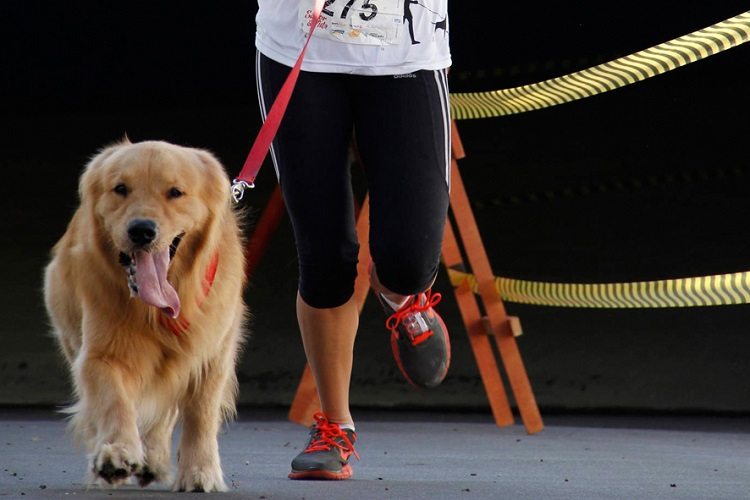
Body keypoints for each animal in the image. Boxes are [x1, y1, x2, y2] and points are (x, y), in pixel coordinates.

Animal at [43, 139, 247, 490]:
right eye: (120, 189)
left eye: (175, 192)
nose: (142, 230)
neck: (156, 310)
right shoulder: (100, 354)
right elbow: (114, 401)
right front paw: (117, 453)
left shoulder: (212, 354)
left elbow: (200, 415)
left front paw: (200, 472)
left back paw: (154, 459)